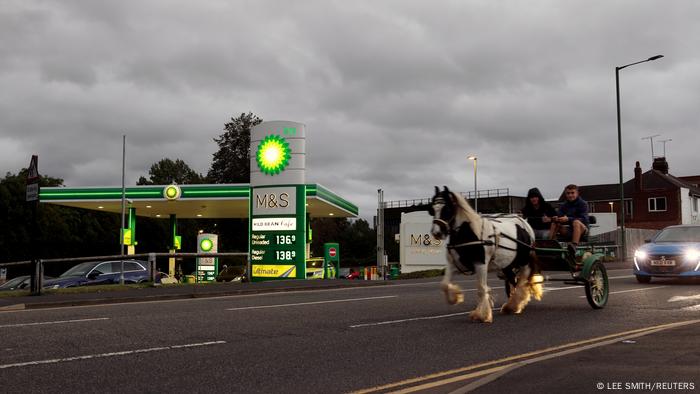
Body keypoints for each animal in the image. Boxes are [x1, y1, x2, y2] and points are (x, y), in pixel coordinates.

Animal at [426, 186, 548, 322]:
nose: (436, 233)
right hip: (507, 265)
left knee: (522, 282)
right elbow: (444, 285)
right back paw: (512, 305)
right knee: (513, 281)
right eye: (432, 209)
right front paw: (455, 297)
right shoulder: (453, 264)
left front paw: (482, 315)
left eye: (446, 208)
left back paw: (515, 304)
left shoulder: (481, 264)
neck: (469, 233)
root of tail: (525, 223)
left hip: (523, 262)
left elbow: (481, 288)